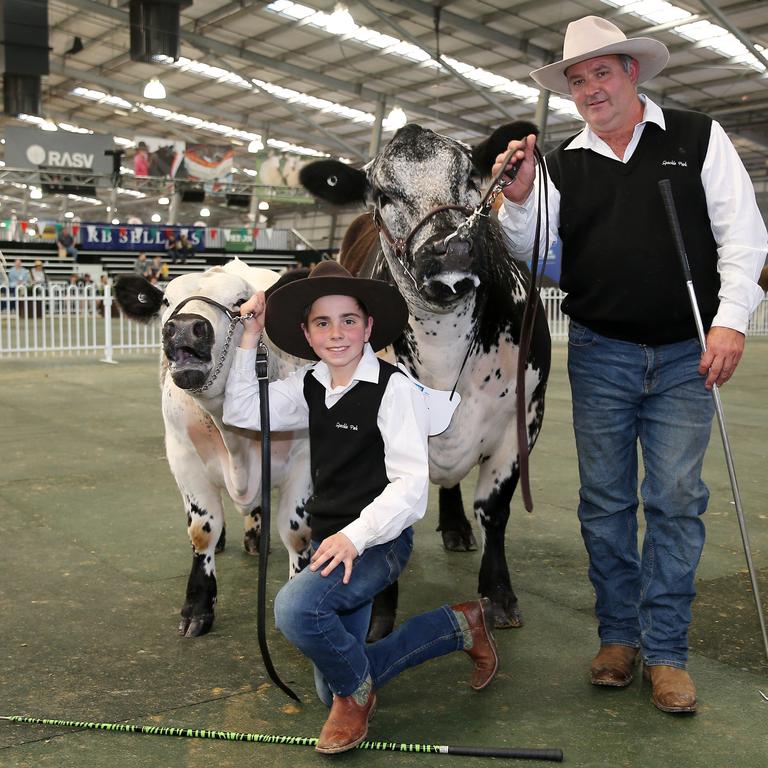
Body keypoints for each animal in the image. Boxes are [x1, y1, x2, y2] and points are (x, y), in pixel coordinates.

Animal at [115, 260, 312, 640]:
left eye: (240, 301)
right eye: (166, 301)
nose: (184, 328)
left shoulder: (304, 459)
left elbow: (297, 533)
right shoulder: (183, 457)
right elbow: (201, 530)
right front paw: (197, 607)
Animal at [296, 123, 548, 628]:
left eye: (470, 175)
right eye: (382, 193)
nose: (450, 248)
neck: (444, 349)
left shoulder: (524, 416)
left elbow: (495, 509)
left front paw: (499, 593)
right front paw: (376, 613)